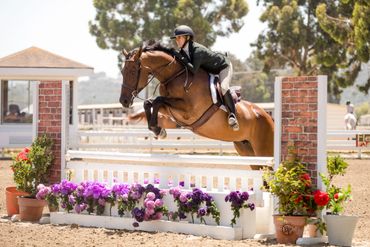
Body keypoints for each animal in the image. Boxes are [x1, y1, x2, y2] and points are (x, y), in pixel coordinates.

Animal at [120, 42, 274, 162]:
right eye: (122, 71)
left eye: (133, 71)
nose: (124, 101)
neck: (175, 76)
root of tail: (268, 117)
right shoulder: (170, 109)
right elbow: (150, 103)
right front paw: (158, 130)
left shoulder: (189, 111)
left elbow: (157, 100)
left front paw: (159, 130)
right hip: (246, 149)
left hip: (264, 150)